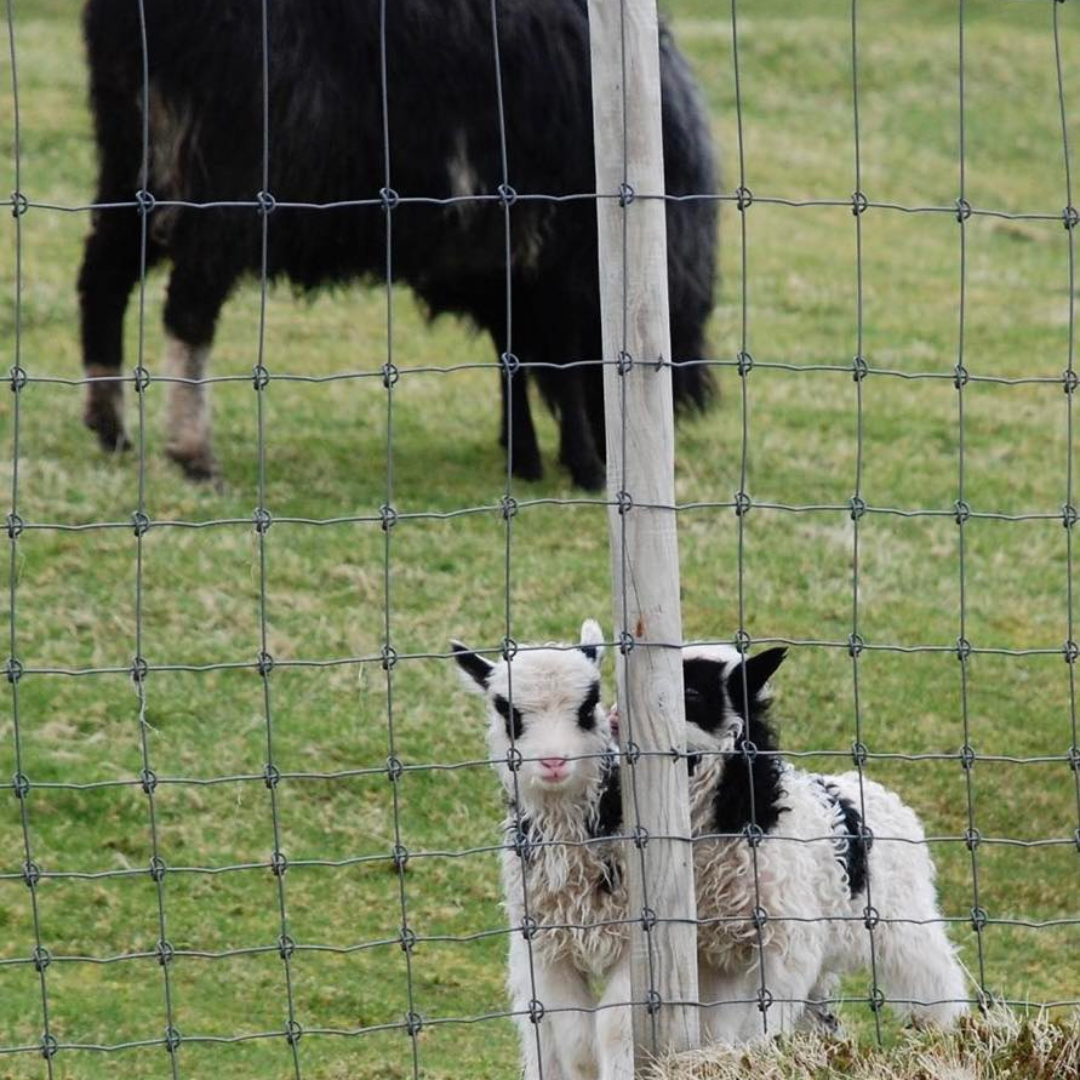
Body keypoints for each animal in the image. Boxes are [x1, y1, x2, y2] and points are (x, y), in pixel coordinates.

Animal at [78, 0, 717, 490]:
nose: (620, 454)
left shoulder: (501, 262)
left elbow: (512, 356)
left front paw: (522, 453)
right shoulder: (558, 257)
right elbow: (558, 361)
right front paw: (582, 467)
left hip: (131, 158)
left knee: (103, 276)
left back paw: (109, 424)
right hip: (232, 176)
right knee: (188, 309)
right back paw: (193, 453)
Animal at [449, 622, 630, 1080]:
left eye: (589, 704)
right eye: (506, 710)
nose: (553, 762)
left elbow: (615, 1028)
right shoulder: (547, 948)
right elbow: (578, 1042)